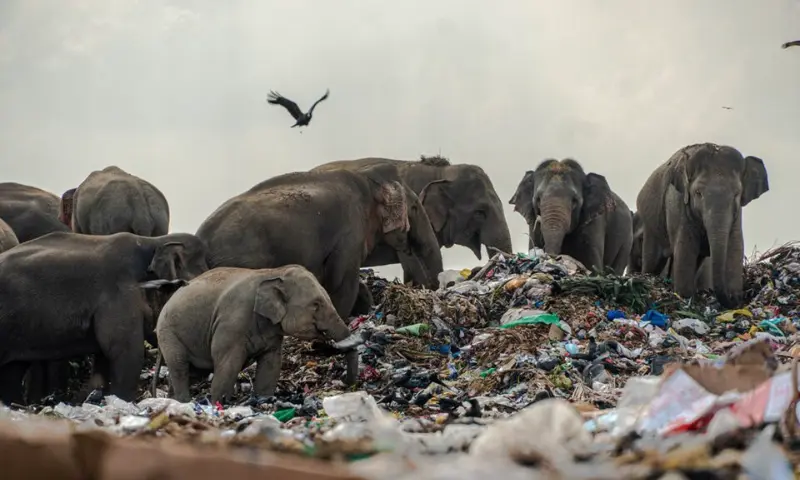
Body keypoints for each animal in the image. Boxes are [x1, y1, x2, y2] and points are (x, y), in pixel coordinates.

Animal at [156, 265, 360, 403]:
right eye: (316, 304)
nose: (347, 383)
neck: (274, 273)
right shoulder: (231, 323)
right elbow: (228, 364)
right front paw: (218, 403)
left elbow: (271, 363)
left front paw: (262, 400)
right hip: (169, 334)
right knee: (180, 368)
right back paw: (184, 402)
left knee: (191, 372)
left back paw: (171, 401)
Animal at [635, 143, 769, 307]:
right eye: (698, 193)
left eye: (737, 194)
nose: (734, 300)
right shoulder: (679, 208)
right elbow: (685, 248)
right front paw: (685, 297)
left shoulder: (737, 215)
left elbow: (735, 246)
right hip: (651, 225)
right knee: (653, 261)